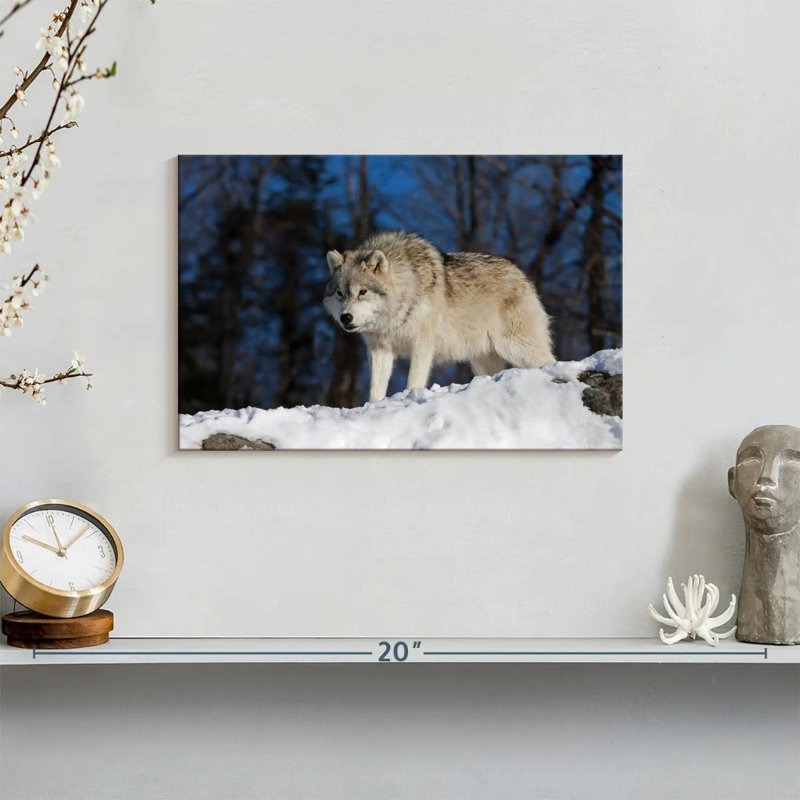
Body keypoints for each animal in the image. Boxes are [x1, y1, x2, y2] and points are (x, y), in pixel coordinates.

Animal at [323, 231, 554, 403]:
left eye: (362, 292)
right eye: (340, 293)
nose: (345, 318)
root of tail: (521, 274)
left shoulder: (422, 344)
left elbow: (414, 380)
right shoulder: (380, 349)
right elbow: (375, 390)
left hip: (515, 347)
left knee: (549, 360)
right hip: (482, 360)